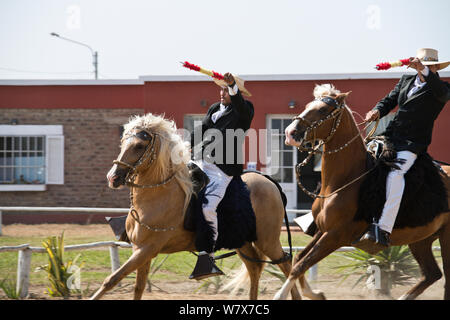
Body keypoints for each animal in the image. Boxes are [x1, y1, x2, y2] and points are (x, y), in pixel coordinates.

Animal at [90, 112, 324, 300]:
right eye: (123, 143)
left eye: (139, 145)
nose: (113, 177)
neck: (159, 194)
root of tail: (268, 181)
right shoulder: (142, 252)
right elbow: (137, 288)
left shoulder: (147, 249)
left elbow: (112, 279)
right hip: (243, 242)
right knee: (255, 269)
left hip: (268, 240)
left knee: (286, 264)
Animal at [278, 84, 450, 300]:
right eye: (309, 105)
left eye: (323, 110)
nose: (290, 133)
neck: (345, 180)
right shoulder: (322, 230)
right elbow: (299, 259)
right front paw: (316, 293)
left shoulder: (335, 236)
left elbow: (300, 266)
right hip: (421, 238)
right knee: (432, 274)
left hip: (444, 237)